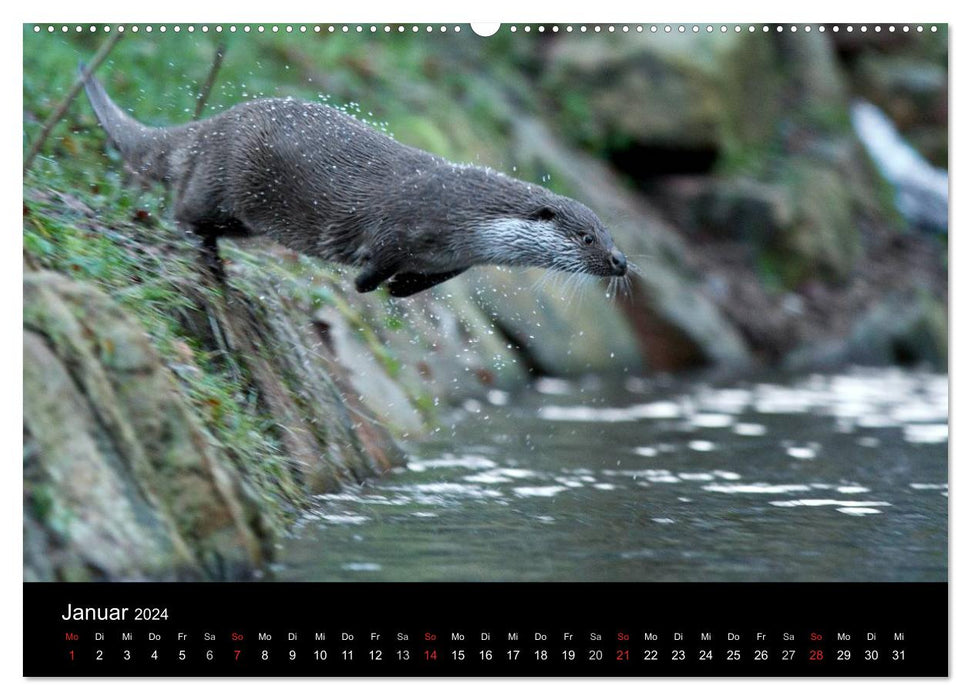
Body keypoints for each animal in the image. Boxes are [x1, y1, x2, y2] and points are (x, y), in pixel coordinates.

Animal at [81, 64, 632, 296]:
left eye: (609, 234)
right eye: (586, 238)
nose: (621, 261)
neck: (468, 217)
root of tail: (209, 128)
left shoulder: (454, 261)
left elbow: (421, 279)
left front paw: (398, 291)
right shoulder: (405, 224)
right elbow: (379, 256)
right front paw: (366, 284)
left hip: (247, 215)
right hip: (222, 176)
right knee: (184, 210)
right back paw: (205, 260)